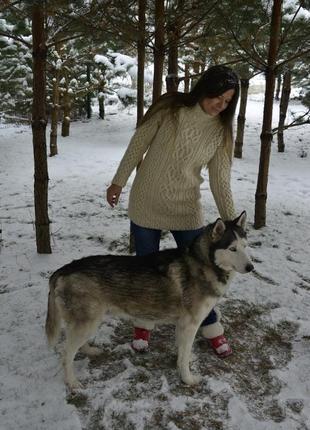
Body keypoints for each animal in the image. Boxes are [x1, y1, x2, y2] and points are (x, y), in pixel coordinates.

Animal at [46, 212, 254, 390]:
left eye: (245, 246)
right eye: (232, 249)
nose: (251, 267)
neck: (203, 263)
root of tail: (63, 269)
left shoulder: (182, 324)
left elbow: (182, 351)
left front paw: (182, 363)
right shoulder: (191, 324)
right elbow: (185, 355)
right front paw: (187, 379)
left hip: (89, 322)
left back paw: (89, 350)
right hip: (87, 322)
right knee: (66, 355)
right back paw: (72, 382)